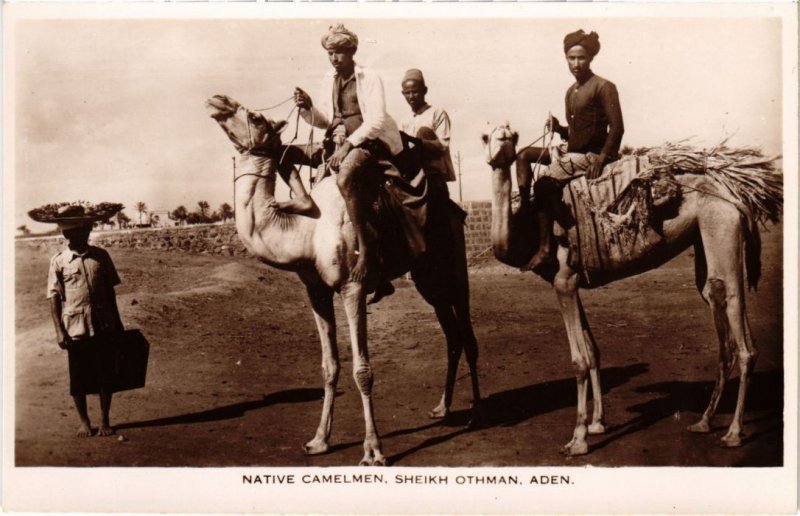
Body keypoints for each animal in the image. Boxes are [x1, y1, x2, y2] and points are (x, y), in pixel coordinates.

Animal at [208, 94, 482, 466]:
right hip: (428, 278)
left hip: (454, 263)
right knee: (452, 335)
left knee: (467, 332)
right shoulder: (316, 290)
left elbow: (362, 370)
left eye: (254, 117)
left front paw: (374, 451)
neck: (306, 230)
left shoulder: (353, 287)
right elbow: (330, 366)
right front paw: (319, 440)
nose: (218, 100)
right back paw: (442, 408)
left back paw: (476, 415)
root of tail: (452, 207)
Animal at [482, 124, 780, 456]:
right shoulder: (572, 282)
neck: (529, 230)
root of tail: (735, 191)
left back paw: (733, 432)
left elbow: (579, 360)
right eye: (489, 136)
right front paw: (597, 424)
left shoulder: (563, 281)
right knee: (718, 302)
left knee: (735, 315)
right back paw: (704, 421)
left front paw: (578, 439)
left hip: (722, 227)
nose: (498, 151)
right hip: (705, 238)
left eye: (509, 137)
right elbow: (593, 351)